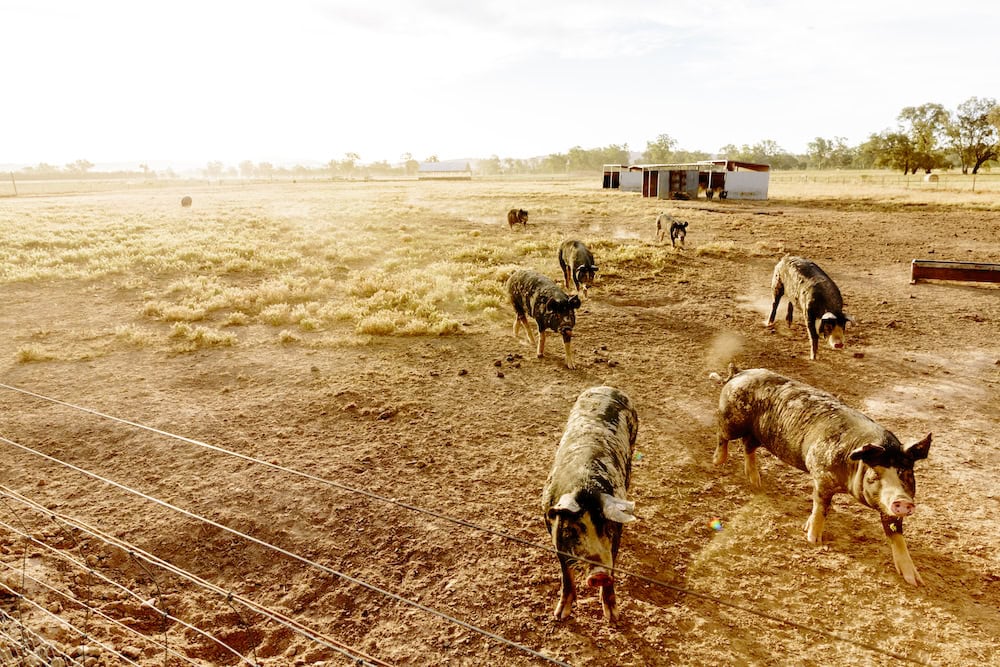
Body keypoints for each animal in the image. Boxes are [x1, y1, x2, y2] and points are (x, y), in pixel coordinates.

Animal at [544, 384, 636, 624]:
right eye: (575, 528)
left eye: (608, 526)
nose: (599, 574)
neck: (586, 489)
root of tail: (608, 386)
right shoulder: (556, 539)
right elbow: (566, 577)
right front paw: (560, 616)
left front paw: (613, 618)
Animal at [712, 368, 928, 588]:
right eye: (876, 473)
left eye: (905, 472)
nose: (902, 501)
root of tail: (740, 373)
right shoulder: (822, 476)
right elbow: (821, 508)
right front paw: (813, 540)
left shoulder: (886, 506)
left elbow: (896, 534)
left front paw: (916, 581)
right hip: (732, 420)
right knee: (723, 434)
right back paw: (717, 462)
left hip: (758, 435)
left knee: (748, 445)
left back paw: (756, 482)